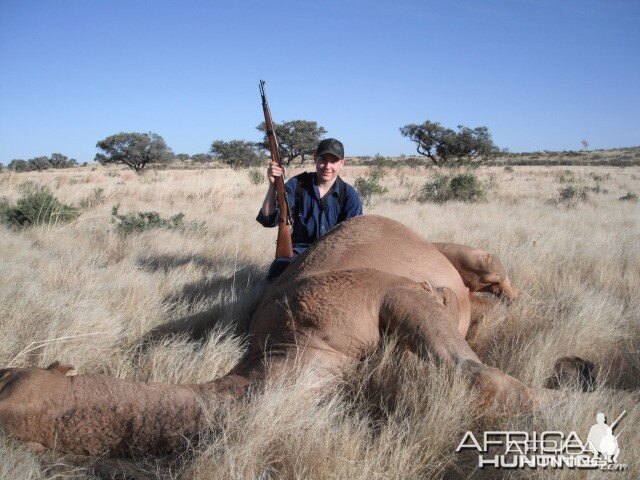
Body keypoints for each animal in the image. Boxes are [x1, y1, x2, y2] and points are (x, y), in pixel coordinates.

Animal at [0, 216, 584, 456]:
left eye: (8, 380)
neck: (296, 347)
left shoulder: (392, 294)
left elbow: (482, 377)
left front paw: (580, 391)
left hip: (464, 257)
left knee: (494, 272)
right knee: (480, 301)